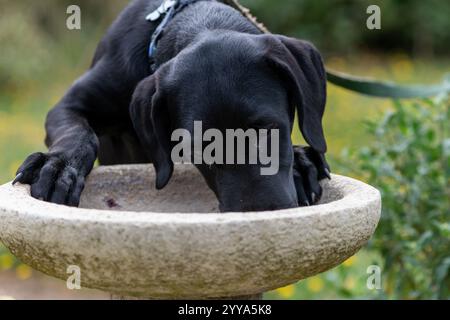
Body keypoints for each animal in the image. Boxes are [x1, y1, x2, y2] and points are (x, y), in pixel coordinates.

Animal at [14, 0, 330, 212]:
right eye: (201, 148)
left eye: (268, 129)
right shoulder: (70, 104)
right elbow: (79, 133)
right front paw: (58, 167)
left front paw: (301, 161)